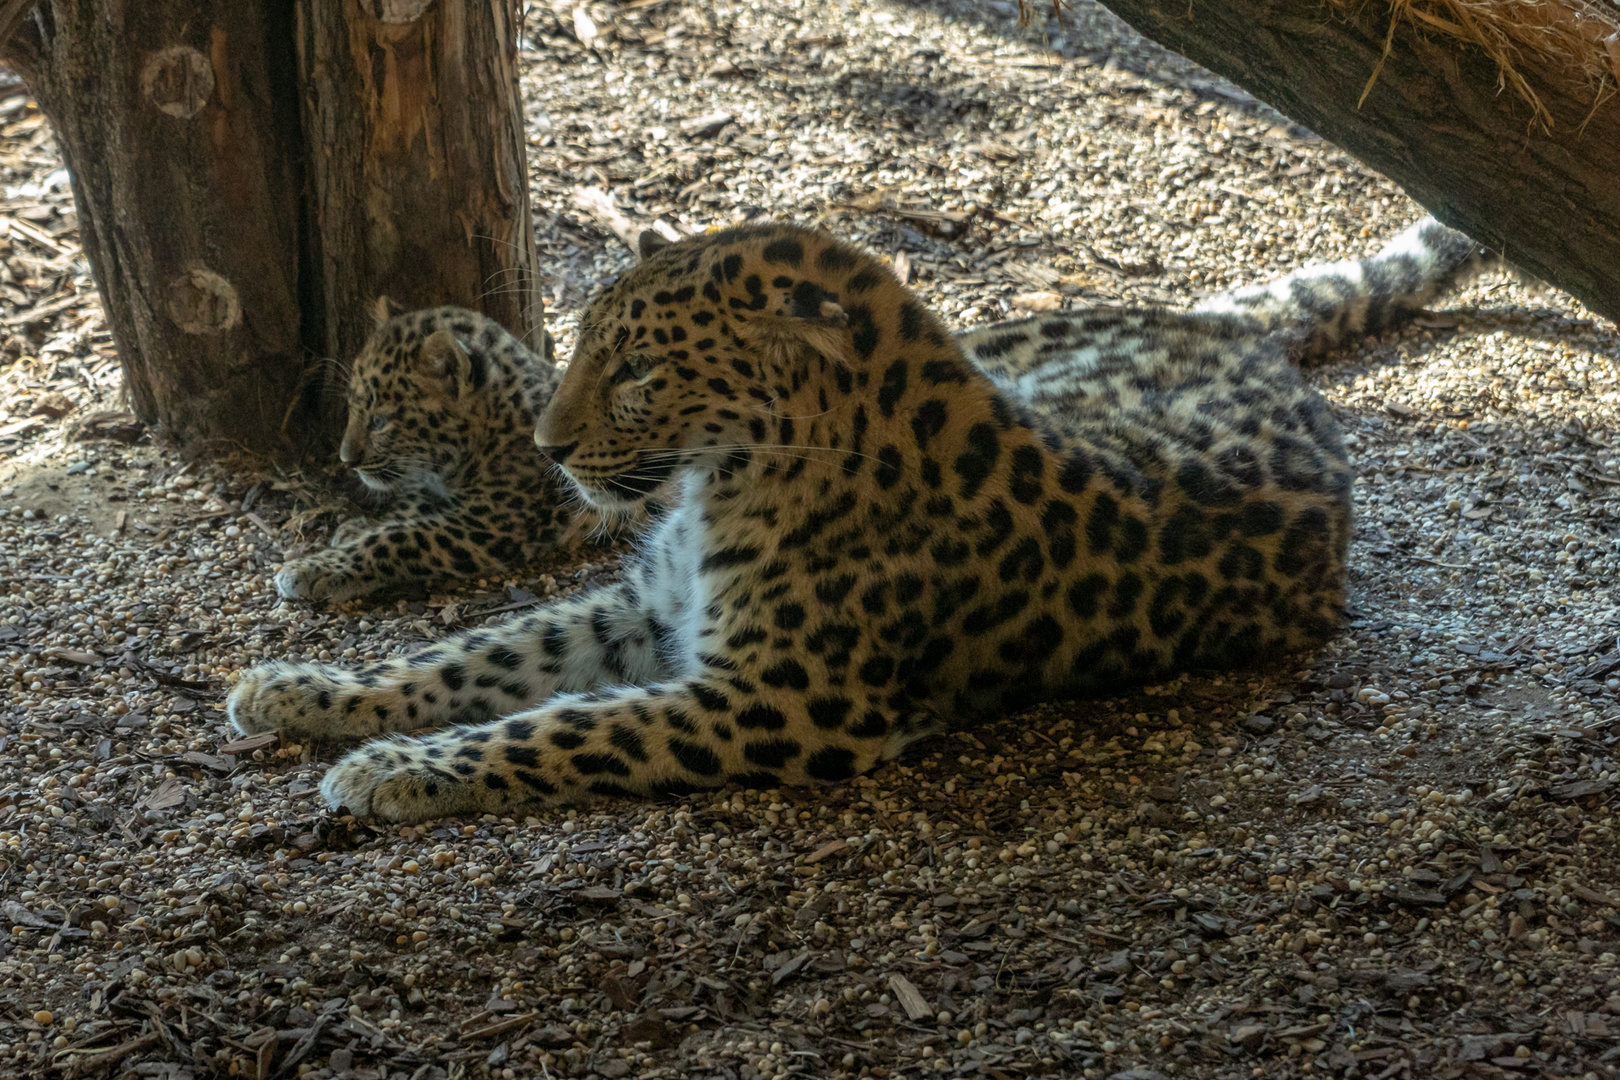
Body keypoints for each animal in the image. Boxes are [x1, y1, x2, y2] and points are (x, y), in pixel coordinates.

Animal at [228, 215, 1490, 819]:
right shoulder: (646, 604)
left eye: (639, 371)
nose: (550, 446)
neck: (729, 478)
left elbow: (553, 727)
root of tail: (1237, 341)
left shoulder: (773, 703)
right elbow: (473, 656)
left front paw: (391, 770)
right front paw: (303, 693)